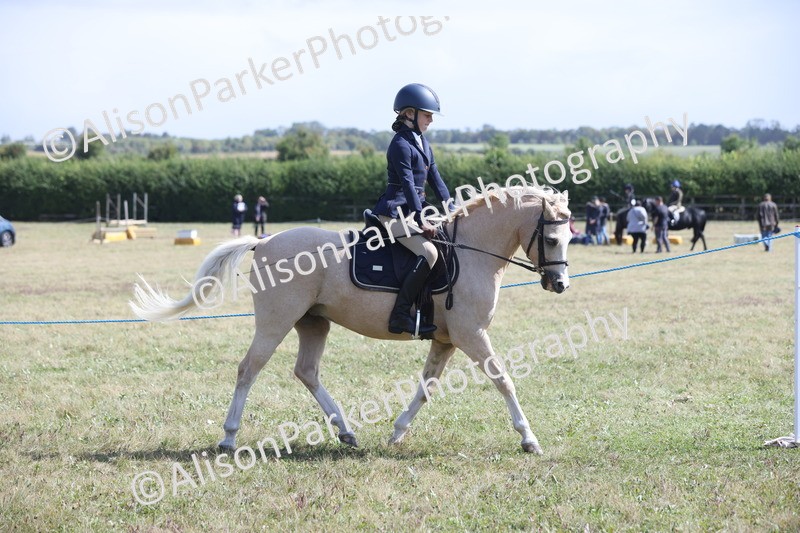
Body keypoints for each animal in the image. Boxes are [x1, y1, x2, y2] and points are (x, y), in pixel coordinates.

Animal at [129, 187, 572, 455]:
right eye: (551, 239)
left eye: (569, 237)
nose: (560, 284)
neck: (470, 252)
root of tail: (264, 241)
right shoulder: (471, 335)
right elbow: (503, 379)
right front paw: (529, 438)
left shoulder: (446, 340)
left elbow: (425, 387)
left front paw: (397, 432)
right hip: (275, 321)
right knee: (248, 369)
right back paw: (228, 437)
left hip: (313, 322)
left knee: (306, 371)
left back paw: (346, 431)